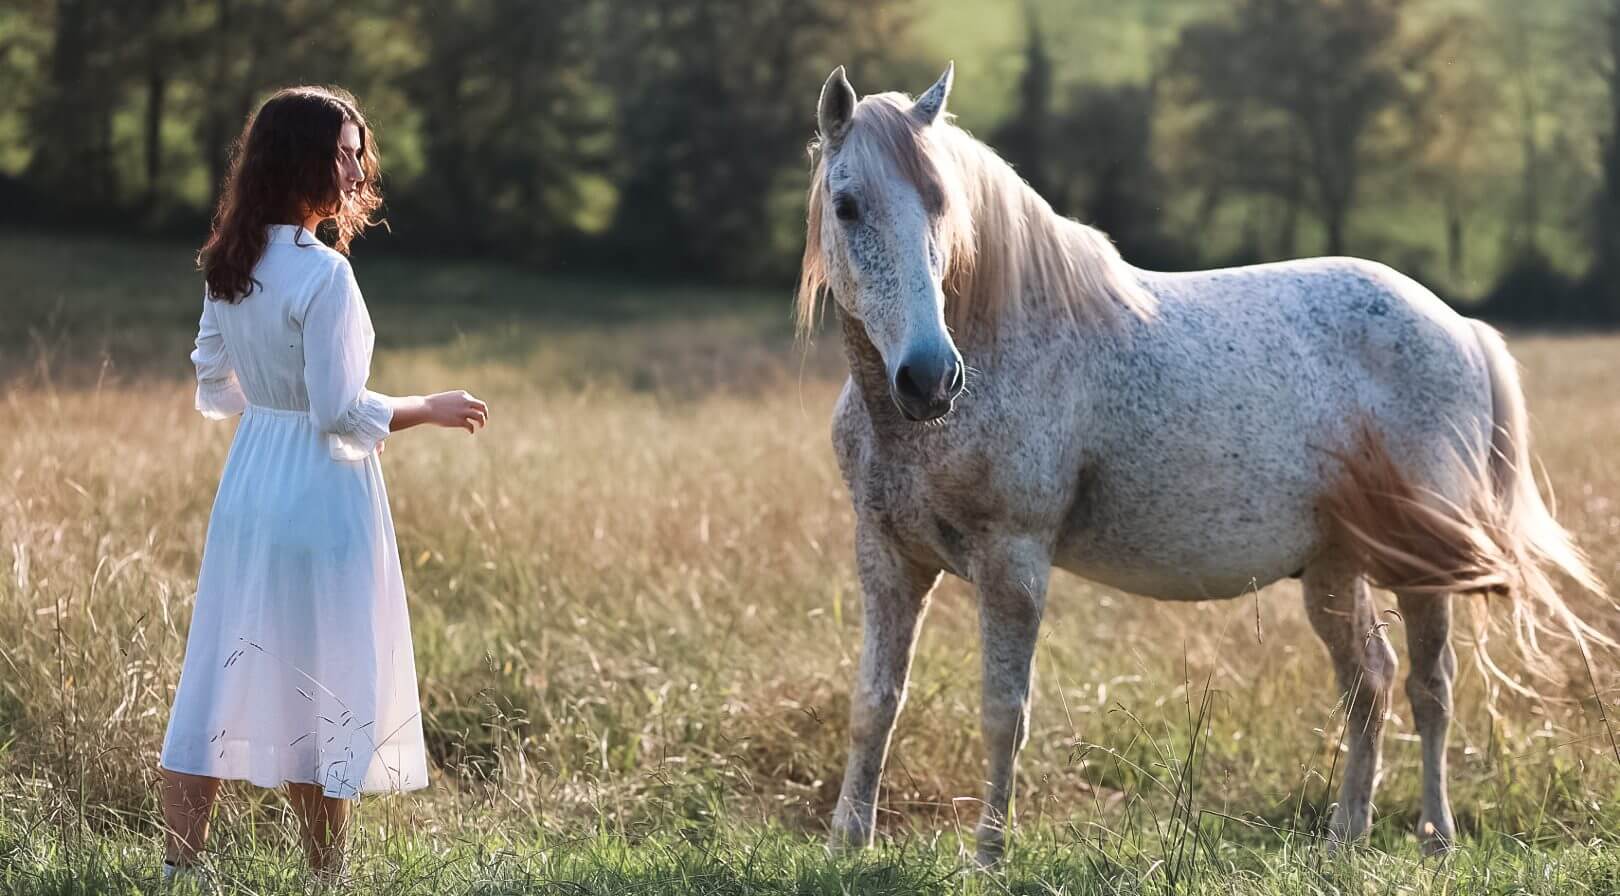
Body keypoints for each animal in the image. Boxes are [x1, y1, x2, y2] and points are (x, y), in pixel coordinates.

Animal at [797, 63, 1607, 866]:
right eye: (846, 205)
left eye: (942, 202)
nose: (929, 378)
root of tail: (1459, 326)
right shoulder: (888, 557)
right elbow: (874, 704)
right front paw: (846, 843)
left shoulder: (1013, 562)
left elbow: (1003, 713)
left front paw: (989, 856)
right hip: (1336, 566)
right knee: (1369, 682)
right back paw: (1345, 836)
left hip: (1421, 558)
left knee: (1430, 687)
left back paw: (1435, 836)